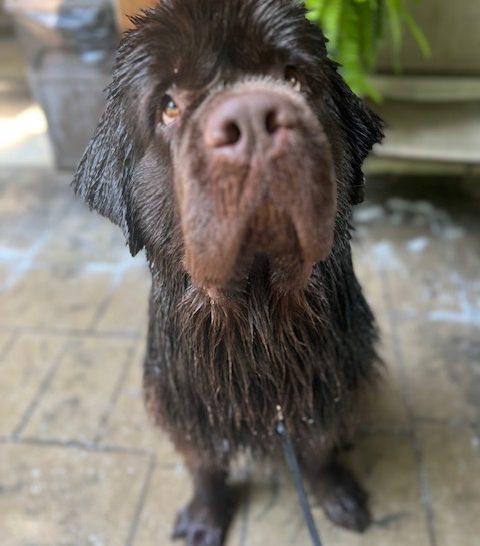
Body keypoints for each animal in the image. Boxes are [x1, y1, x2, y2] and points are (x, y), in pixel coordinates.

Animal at [73, 2, 384, 540]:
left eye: (293, 77)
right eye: (169, 105)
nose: (253, 117)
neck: (258, 325)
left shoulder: (327, 386)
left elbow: (319, 447)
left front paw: (337, 494)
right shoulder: (186, 402)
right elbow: (205, 463)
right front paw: (205, 515)